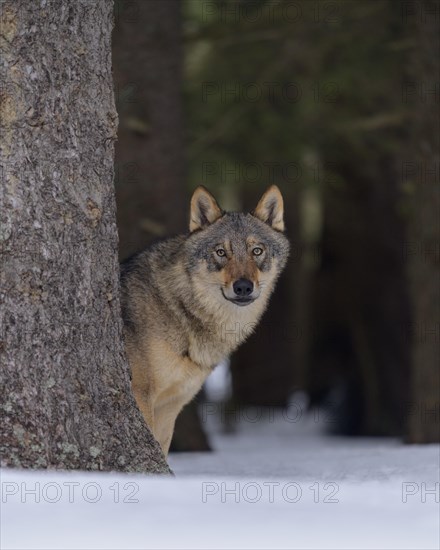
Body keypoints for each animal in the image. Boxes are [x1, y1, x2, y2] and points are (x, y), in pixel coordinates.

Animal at [121, 187, 288, 458]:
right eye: (221, 252)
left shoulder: (170, 407)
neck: (178, 307)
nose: (243, 287)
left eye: (257, 251)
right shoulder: (142, 395)